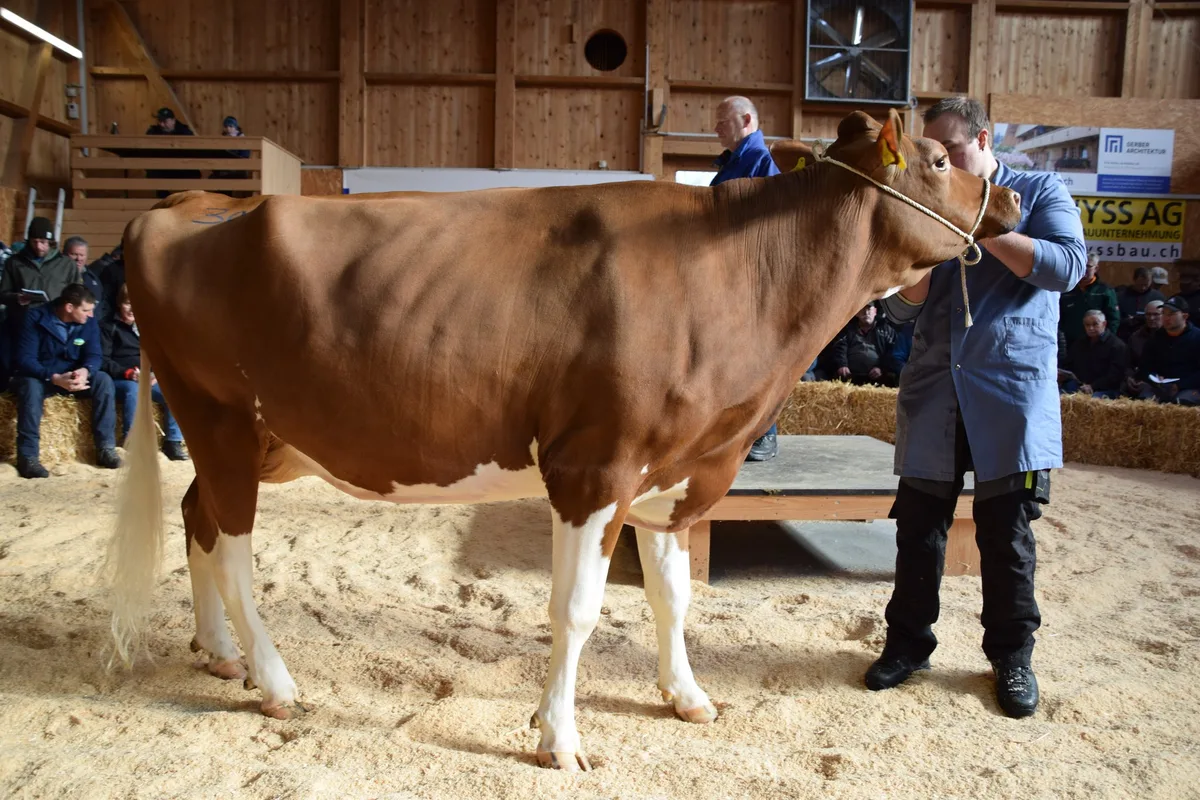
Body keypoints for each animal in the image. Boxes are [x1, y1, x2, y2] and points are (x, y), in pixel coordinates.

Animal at [102, 108, 1023, 771]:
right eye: (938, 161)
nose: (1012, 196)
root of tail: (191, 203)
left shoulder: (671, 475)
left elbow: (673, 598)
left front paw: (686, 696)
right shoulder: (594, 468)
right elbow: (575, 610)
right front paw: (559, 738)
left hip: (259, 438)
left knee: (199, 519)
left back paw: (221, 654)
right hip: (218, 415)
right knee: (232, 549)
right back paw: (273, 680)